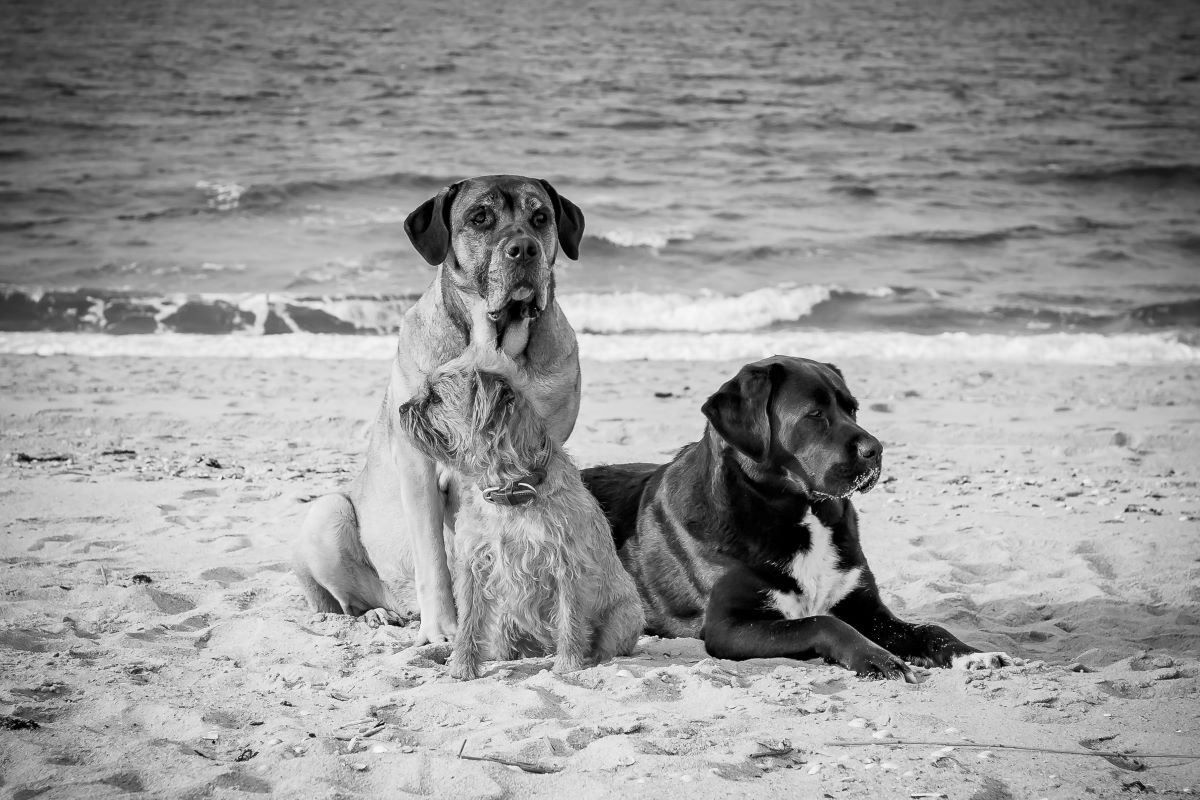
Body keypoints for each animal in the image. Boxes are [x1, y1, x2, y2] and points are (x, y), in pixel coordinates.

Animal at [295, 175, 585, 642]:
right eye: (480, 218)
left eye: (541, 217)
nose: (524, 248)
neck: (495, 344)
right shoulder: (419, 468)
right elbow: (433, 561)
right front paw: (444, 629)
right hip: (328, 513)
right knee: (347, 603)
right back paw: (379, 615)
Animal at [400, 347, 648, 681]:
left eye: (435, 398)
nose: (401, 408)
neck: (509, 490)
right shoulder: (473, 567)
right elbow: (469, 622)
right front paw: (462, 665)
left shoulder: (567, 566)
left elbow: (570, 619)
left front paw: (568, 665)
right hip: (507, 622)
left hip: (625, 614)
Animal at [585, 357, 1017, 681]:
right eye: (815, 414)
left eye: (852, 408)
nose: (876, 450)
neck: (803, 514)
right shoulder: (731, 626)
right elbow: (822, 623)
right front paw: (877, 658)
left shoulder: (866, 608)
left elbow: (930, 629)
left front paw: (972, 654)